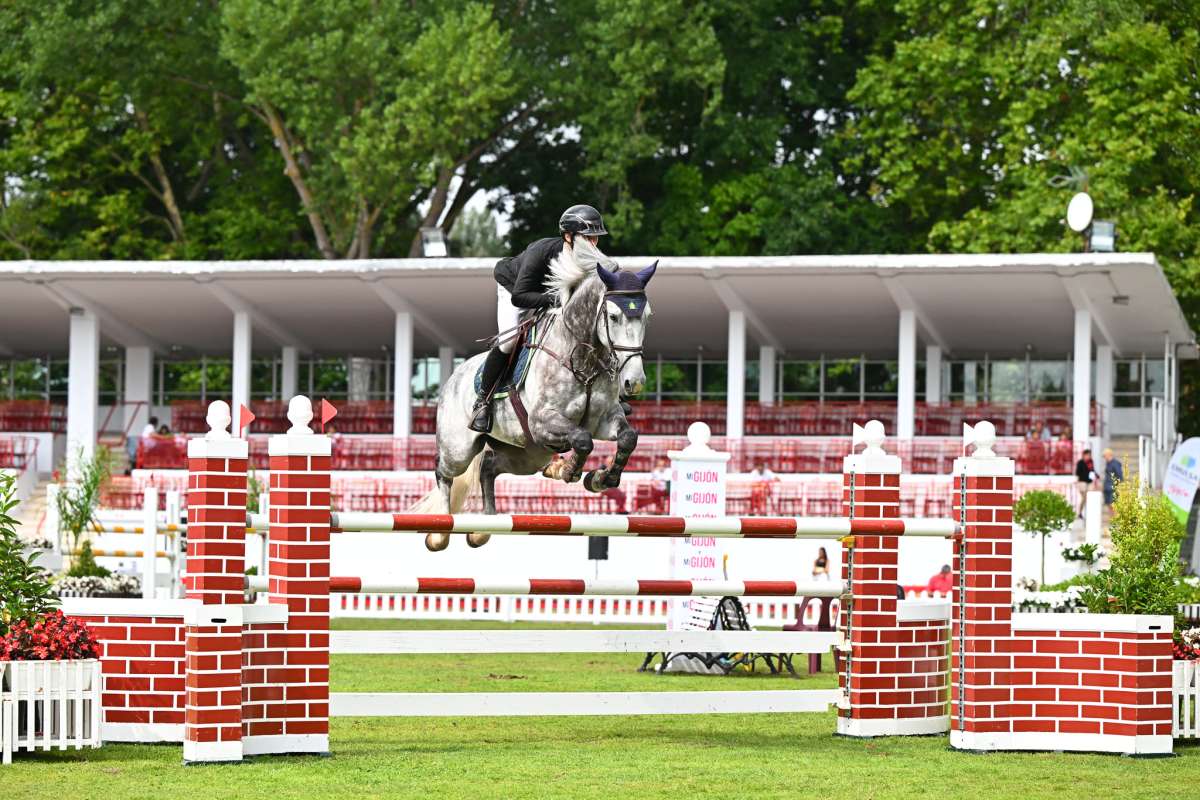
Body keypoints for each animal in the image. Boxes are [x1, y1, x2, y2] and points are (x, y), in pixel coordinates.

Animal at [412, 253, 657, 546]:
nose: (635, 381)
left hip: (528, 455)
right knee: (444, 471)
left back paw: (483, 529)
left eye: (647, 316)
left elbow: (628, 438)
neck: (582, 359)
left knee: (488, 467)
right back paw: (439, 533)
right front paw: (569, 470)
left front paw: (600, 478)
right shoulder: (542, 421)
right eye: (613, 316)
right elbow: (582, 439)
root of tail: (454, 376)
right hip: (460, 448)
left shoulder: (605, 419)